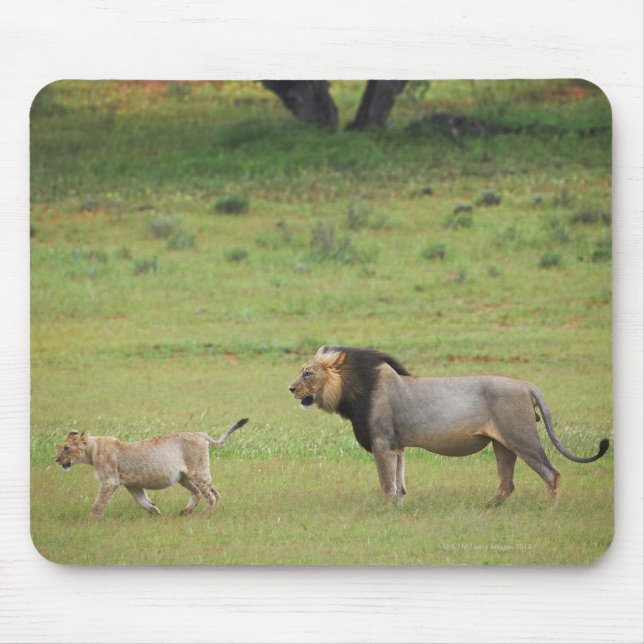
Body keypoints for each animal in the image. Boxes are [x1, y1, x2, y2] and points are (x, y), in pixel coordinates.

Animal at [55, 418, 248, 517]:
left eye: (66, 448)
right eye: (61, 447)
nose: (56, 459)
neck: (92, 450)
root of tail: (200, 434)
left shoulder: (110, 481)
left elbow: (98, 504)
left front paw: (90, 521)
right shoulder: (131, 484)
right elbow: (142, 501)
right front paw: (154, 511)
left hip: (198, 472)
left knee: (211, 495)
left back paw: (204, 515)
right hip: (185, 477)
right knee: (203, 492)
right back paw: (186, 512)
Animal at [289, 346, 609, 504]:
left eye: (307, 373)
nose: (290, 389)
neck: (351, 390)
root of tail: (526, 384)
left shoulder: (381, 441)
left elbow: (386, 483)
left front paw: (384, 512)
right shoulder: (396, 444)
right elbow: (400, 483)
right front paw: (398, 510)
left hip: (521, 437)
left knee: (551, 473)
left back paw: (549, 509)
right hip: (502, 444)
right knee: (507, 484)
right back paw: (486, 509)